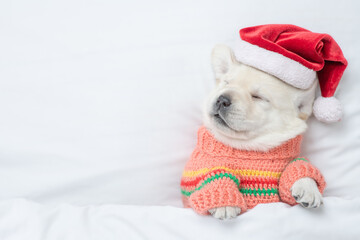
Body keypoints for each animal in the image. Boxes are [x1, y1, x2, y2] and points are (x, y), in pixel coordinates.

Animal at [181, 45, 324, 219]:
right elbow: (212, 175)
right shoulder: (197, 170)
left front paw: (309, 188)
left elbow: (298, 165)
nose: (222, 99)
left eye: (258, 97)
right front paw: (224, 200)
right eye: (226, 83)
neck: (249, 147)